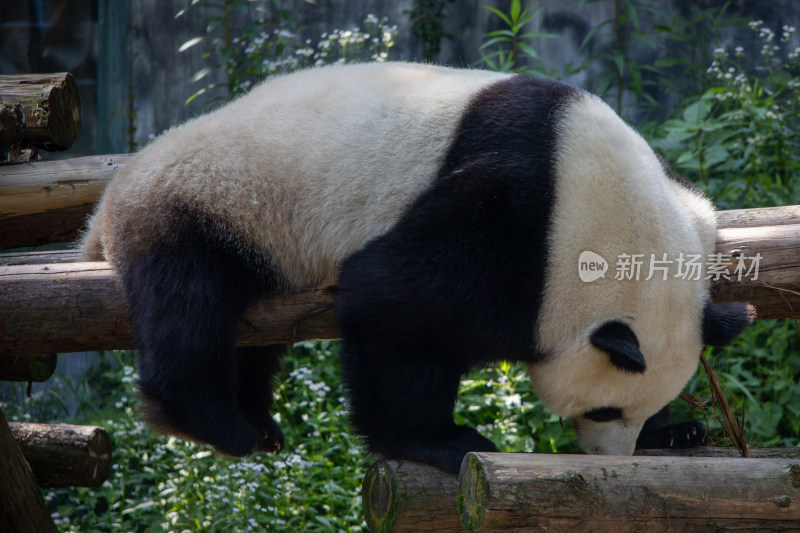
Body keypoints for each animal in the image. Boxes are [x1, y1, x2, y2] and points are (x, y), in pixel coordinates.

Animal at [84, 62, 752, 474]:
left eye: (628, 413)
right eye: (604, 411)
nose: (609, 455)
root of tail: (110, 200)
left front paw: (677, 429)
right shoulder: (521, 221)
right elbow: (391, 298)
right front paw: (443, 441)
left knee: (253, 338)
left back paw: (256, 420)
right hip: (209, 203)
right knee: (189, 304)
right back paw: (219, 422)